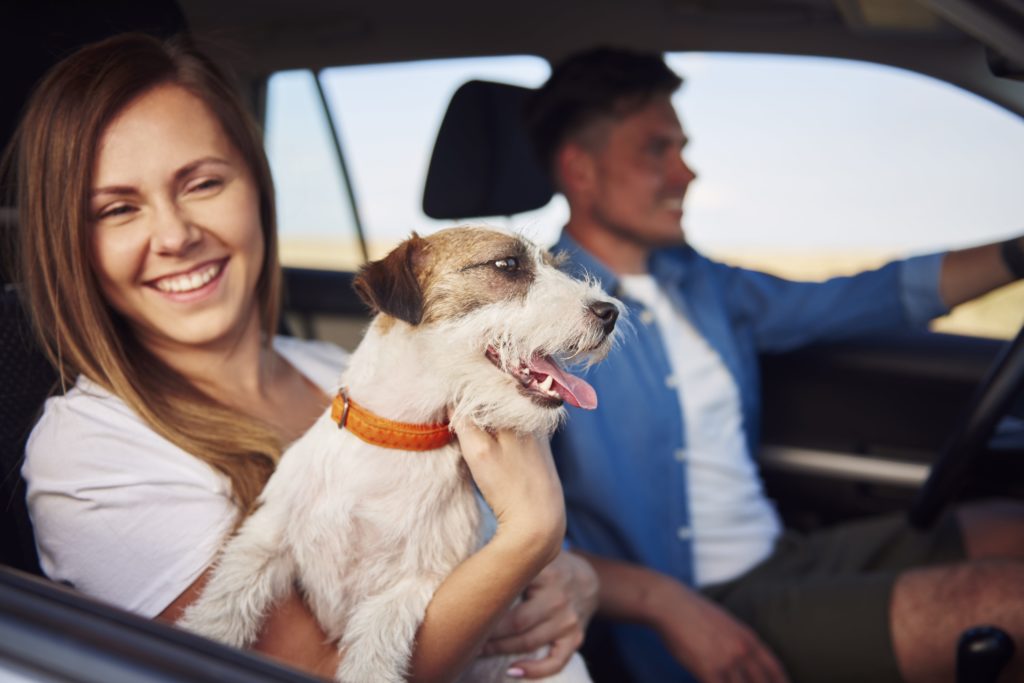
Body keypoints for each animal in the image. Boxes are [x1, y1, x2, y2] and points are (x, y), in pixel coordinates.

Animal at [180, 229, 618, 683]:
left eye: (553, 264)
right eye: (508, 265)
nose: (610, 312)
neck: (395, 439)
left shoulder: (411, 585)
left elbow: (373, 651)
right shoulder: (267, 537)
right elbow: (228, 597)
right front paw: (205, 632)